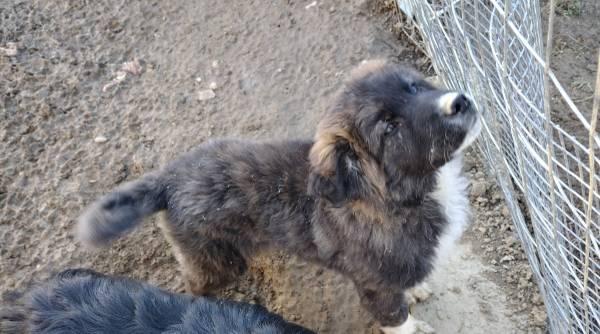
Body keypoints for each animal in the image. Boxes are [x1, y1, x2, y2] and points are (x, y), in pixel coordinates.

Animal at [78, 58, 482, 332]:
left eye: (413, 86)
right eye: (389, 128)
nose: (460, 102)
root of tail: (169, 177)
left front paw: (417, 290)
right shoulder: (375, 286)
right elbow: (397, 318)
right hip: (216, 261)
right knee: (193, 284)